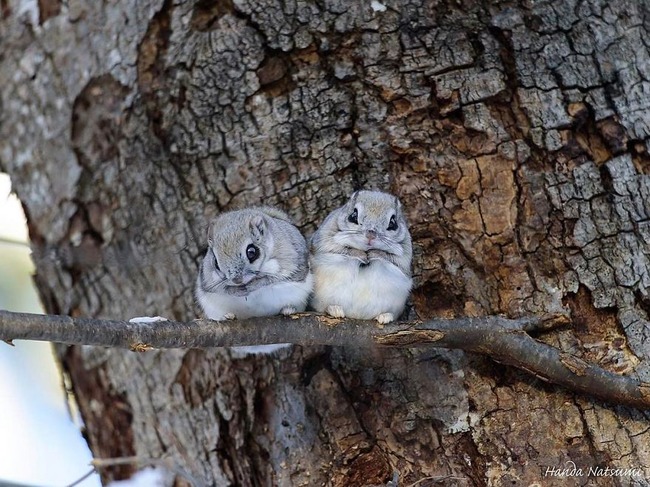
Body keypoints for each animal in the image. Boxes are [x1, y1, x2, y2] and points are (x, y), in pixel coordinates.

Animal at [309, 190, 412, 323]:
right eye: (353, 216)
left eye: (393, 223)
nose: (371, 234)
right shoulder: (324, 242)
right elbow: (341, 250)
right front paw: (361, 255)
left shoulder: (405, 257)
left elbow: (391, 259)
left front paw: (374, 254)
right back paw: (334, 309)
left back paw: (385, 316)